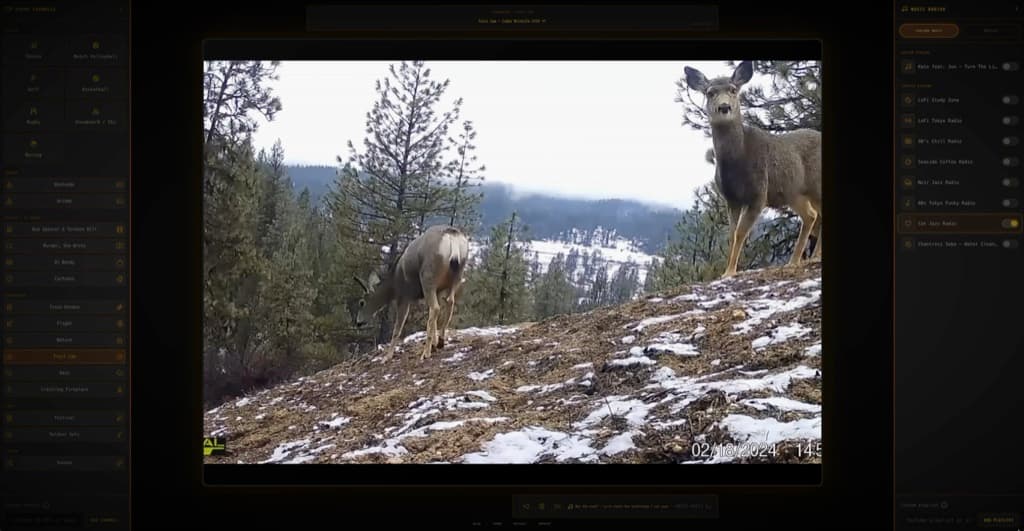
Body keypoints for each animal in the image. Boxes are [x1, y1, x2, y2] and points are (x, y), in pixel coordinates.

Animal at [347, 225, 470, 363]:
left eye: (361, 303)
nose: (358, 322)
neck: (394, 284)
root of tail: (452, 235)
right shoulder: (438, 290)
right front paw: (434, 343)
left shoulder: (404, 296)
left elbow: (397, 328)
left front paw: (387, 357)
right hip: (457, 275)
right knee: (449, 302)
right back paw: (440, 343)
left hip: (428, 276)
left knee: (435, 308)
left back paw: (425, 354)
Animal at [684, 60, 822, 278]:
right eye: (710, 92)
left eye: (733, 90)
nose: (724, 107)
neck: (737, 160)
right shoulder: (731, 198)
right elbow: (731, 234)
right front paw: (726, 271)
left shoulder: (759, 193)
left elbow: (741, 232)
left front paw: (730, 271)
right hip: (795, 192)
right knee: (813, 215)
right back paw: (805, 259)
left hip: (812, 186)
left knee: (814, 215)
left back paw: (800, 260)